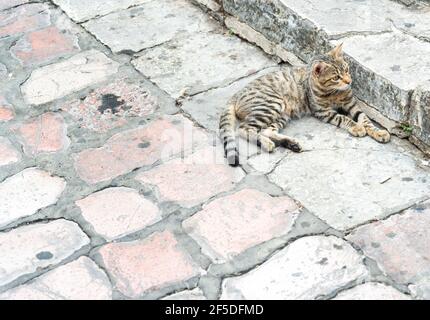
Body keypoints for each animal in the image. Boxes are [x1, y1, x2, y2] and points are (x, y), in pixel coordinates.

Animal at [220, 43, 392, 168]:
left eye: (347, 69)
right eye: (336, 77)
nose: (349, 81)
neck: (334, 93)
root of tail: (235, 95)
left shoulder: (352, 104)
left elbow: (365, 119)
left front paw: (378, 132)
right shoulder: (323, 112)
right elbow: (344, 118)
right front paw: (356, 127)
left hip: (282, 114)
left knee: (266, 130)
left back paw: (291, 144)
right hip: (272, 104)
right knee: (244, 129)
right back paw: (267, 144)